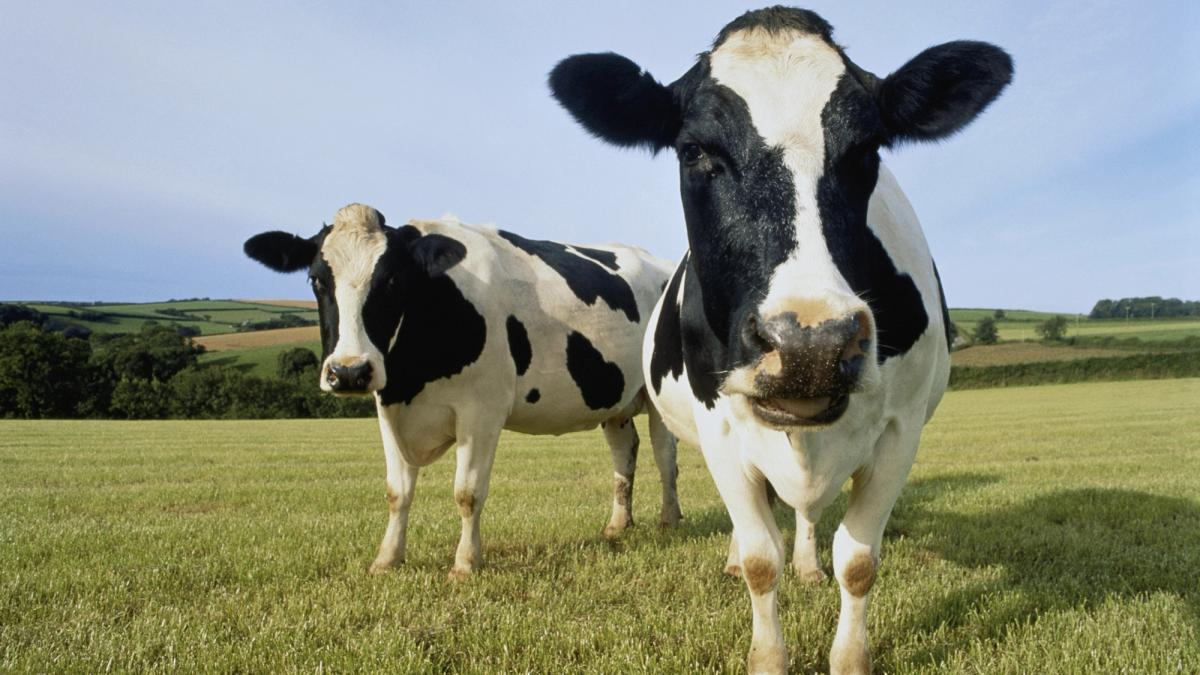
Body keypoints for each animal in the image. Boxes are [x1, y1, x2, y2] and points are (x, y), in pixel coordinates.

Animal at [243, 203, 682, 578]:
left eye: (391, 280)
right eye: (317, 279)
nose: (348, 372)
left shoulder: (482, 411)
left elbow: (467, 493)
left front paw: (466, 564)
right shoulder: (388, 407)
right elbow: (396, 492)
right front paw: (387, 559)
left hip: (659, 397)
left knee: (665, 458)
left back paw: (669, 520)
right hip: (616, 401)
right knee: (624, 456)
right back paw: (618, 525)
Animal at [550, 7, 1011, 673]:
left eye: (868, 148)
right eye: (694, 151)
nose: (809, 344)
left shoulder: (902, 430)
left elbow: (859, 561)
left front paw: (849, 654)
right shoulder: (720, 426)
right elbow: (761, 560)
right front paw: (766, 652)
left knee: (806, 513)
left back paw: (809, 565)